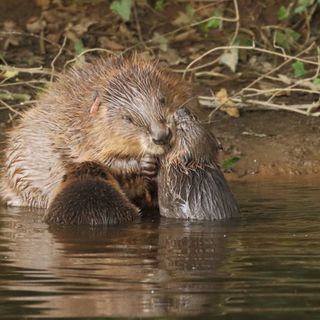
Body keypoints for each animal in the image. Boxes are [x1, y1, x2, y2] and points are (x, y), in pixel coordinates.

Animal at [0, 56, 190, 209]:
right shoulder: (81, 137)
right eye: (127, 118)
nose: (162, 136)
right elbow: (100, 160)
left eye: (162, 99)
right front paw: (145, 163)